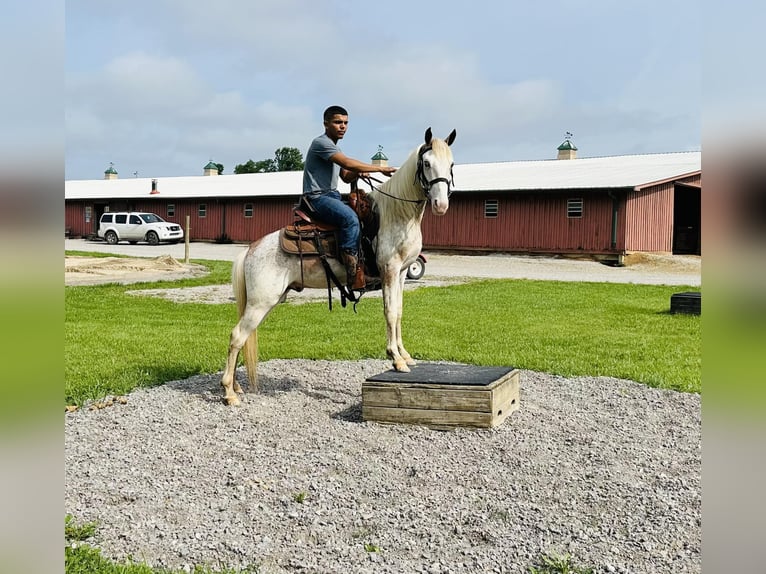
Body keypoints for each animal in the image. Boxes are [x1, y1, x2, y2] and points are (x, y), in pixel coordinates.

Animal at [219, 127, 456, 404]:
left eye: (451, 164)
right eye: (426, 163)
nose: (441, 205)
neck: (396, 214)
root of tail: (250, 250)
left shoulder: (401, 273)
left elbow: (398, 313)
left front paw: (405, 356)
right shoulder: (389, 270)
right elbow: (389, 312)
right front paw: (395, 359)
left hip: (264, 302)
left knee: (243, 337)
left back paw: (236, 387)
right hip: (260, 302)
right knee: (237, 336)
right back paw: (228, 392)